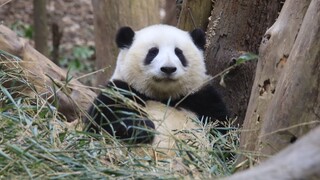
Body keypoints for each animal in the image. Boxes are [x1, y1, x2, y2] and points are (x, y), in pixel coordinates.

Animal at [86, 23, 229, 155]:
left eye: (179, 53)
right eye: (153, 52)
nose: (168, 68)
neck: (163, 96)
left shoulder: (200, 96)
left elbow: (221, 128)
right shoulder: (122, 89)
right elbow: (106, 115)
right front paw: (144, 128)